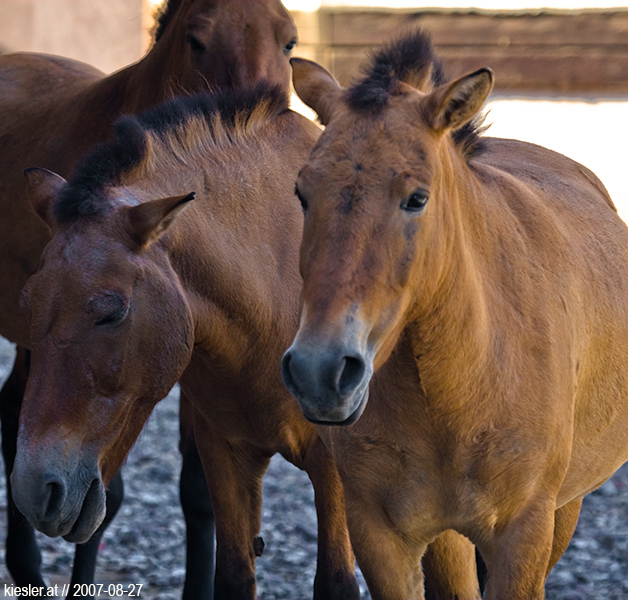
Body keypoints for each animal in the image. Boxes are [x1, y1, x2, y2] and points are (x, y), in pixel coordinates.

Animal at [11, 85, 358, 600]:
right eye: (28, 302)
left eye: (113, 312)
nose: (35, 491)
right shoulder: (226, 454)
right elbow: (232, 577)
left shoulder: (334, 472)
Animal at [282, 30, 628, 596]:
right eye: (302, 193)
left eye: (417, 198)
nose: (319, 371)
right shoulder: (384, 537)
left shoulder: (523, 536)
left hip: (564, 510)